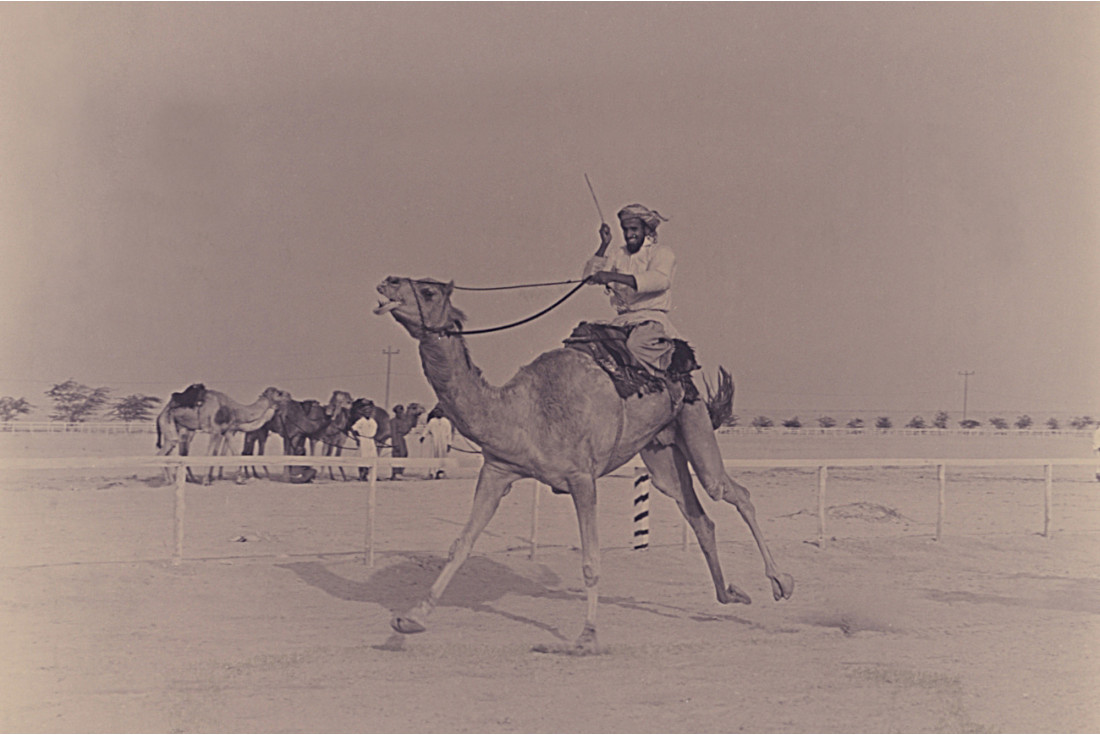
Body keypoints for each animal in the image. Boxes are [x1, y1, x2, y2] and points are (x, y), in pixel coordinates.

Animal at [155, 386, 289, 484]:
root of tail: (160, 414)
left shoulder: (228, 431)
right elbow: (210, 454)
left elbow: (235, 454)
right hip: (168, 424)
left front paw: (240, 480)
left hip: (178, 428)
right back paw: (169, 481)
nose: (288, 395)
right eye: (279, 393)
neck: (234, 410)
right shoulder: (215, 430)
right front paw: (206, 481)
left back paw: (178, 479)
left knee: (173, 452)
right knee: (161, 453)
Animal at [374, 276, 794, 654]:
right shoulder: (497, 469)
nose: (387, 282)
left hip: (693, 419)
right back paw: (731, 594)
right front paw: (409, 620)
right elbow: (460, 545)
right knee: (698, 515)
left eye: (428, 290)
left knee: (731, 491)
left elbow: (591, 561)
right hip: (660, 451)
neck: (522, 411)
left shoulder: (581, 477)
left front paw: (586, 638)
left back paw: (782, 583)